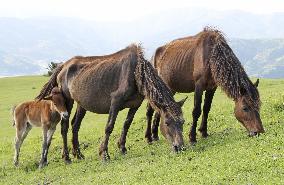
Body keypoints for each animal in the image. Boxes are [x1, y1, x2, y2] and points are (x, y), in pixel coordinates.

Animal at [36, 43, 187, 162]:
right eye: (167, 123)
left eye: (182, 122)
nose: (180, 147)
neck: (135, 73)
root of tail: (63, 65)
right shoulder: (115, 102)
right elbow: (109, 127)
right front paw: (104, 154)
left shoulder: (135, 105)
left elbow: (126, 124)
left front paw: (122, 147)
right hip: (67, 100)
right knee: (64, 127)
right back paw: (67, 157)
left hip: (81, 104)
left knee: (75, 125)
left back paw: (78, 154)